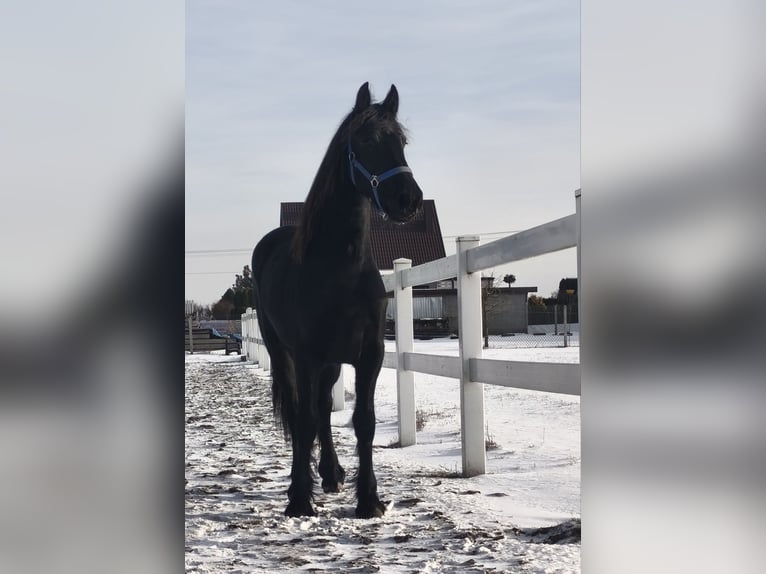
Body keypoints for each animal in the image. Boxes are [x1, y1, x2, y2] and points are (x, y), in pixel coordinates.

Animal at [251, 82, 423, 518]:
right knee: (303, 411)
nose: (408, 199)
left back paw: (331, 474)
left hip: (330, 362)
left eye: (401, 142)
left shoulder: (369, 354)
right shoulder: (306, 355)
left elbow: (364, 421)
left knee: (323, 410)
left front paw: (369, 500)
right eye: (363, 141)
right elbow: (305, 418)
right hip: (284, 353)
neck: (341, 270)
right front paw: (299, 499)